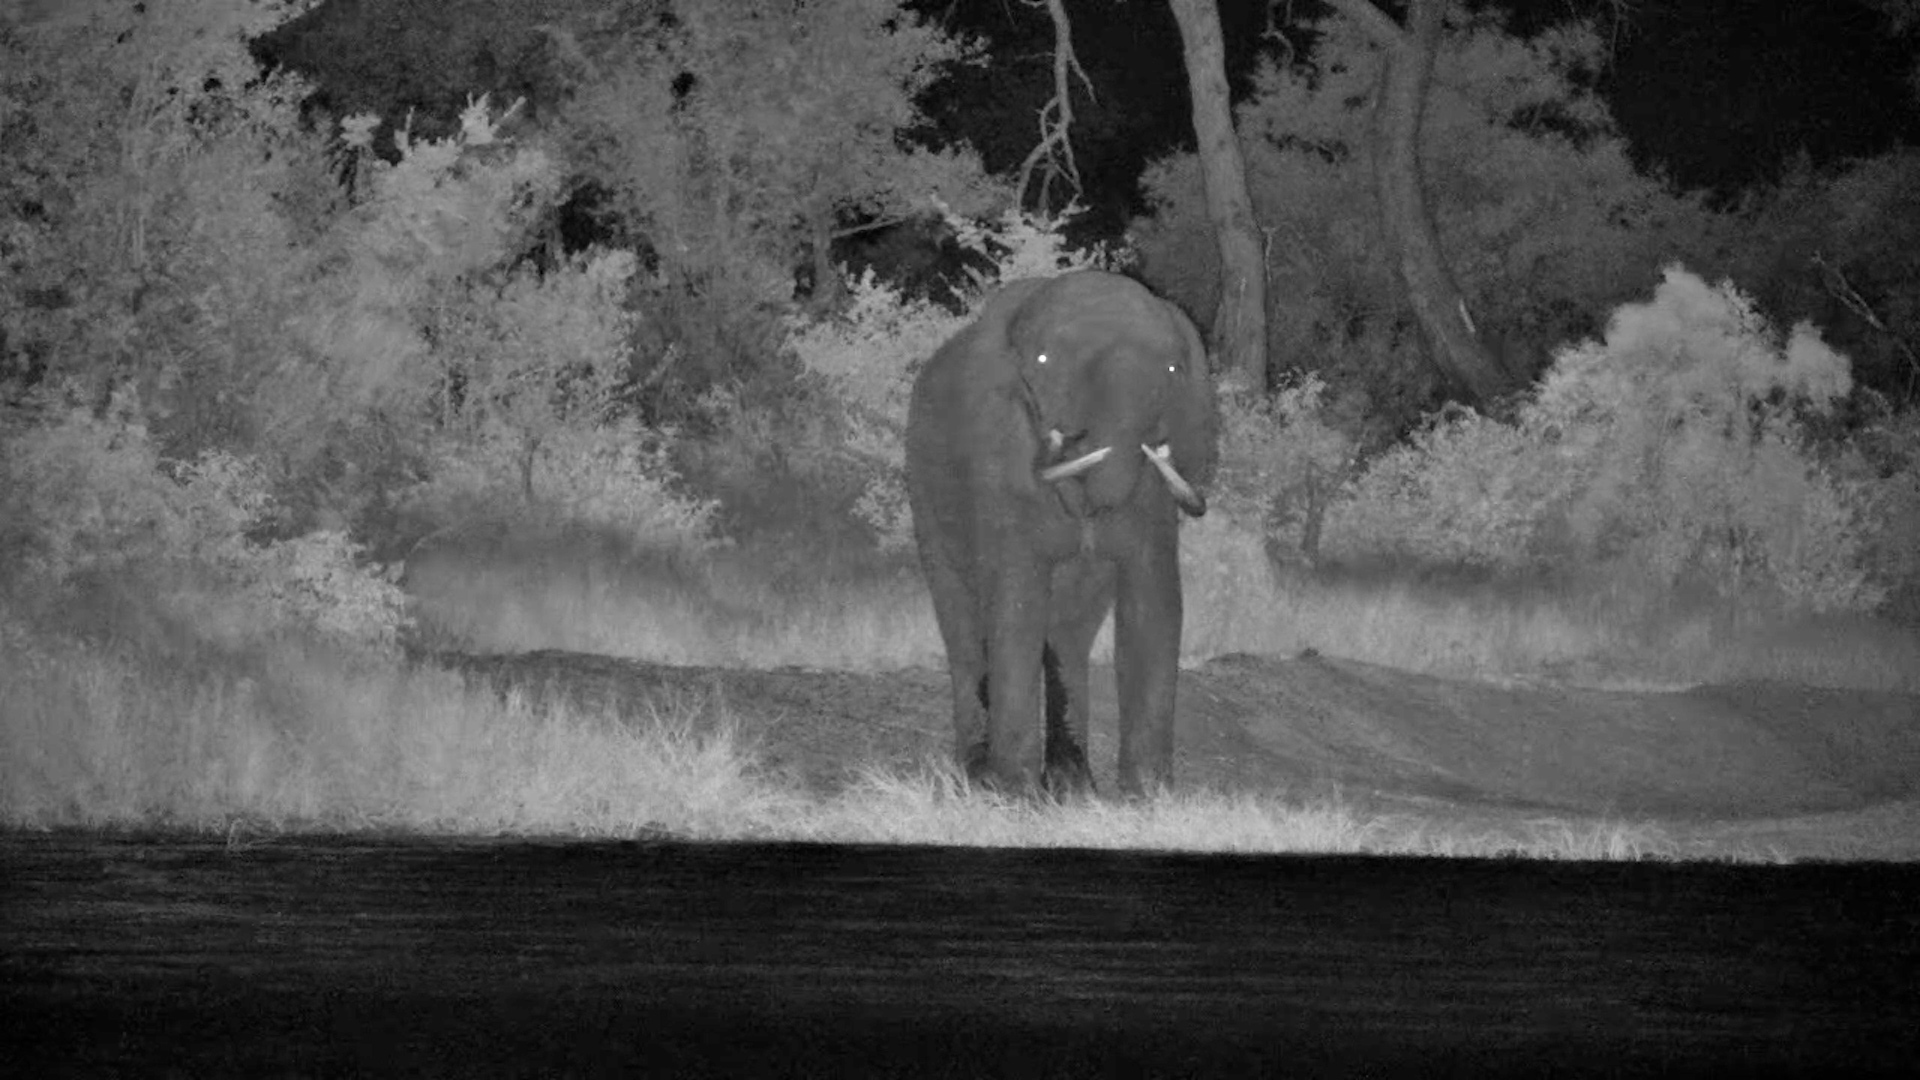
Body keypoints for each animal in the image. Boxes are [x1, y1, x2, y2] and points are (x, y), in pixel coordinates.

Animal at [905, 270, 1217, 798]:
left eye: (1174, 370)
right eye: (1045, 362)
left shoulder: (1154, 499)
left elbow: (1154, 602)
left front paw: (1149, 797)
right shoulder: (998, 458)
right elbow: (1017, 603)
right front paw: (1014, 794)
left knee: (1069, 635)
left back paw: (1073, 788)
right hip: (923, 496)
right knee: (962, 624)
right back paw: (976, 776)